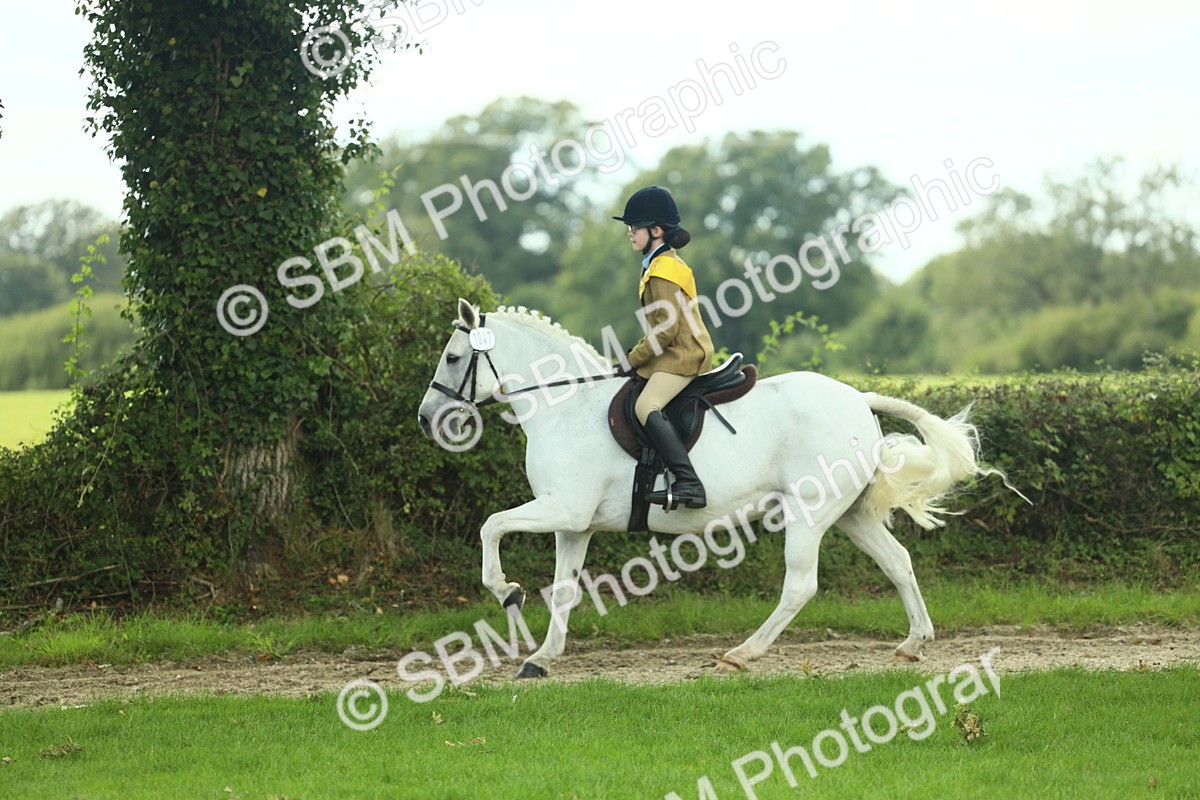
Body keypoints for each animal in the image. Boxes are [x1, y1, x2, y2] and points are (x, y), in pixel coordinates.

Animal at [417, 299, 1009, 679]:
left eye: (452, 357)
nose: (427, 419)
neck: (564, 404)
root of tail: (858, 398)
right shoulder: (573, 523)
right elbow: (563, 588)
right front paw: (542, 657)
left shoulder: (560, 508)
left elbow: (491, 526)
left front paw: (506, 591)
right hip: (851, 515)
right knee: (899, 562)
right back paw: (913, 644)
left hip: (810, 513)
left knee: (800, 586)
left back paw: (742, 654)